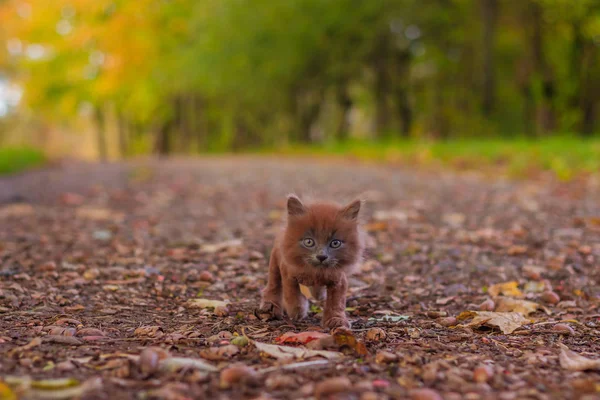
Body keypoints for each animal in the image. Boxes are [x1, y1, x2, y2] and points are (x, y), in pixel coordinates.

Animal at [258, 194, 366, 328]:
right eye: (309, 242)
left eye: (335, 243)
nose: (321, 256)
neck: (315, 271)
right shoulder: (287, 272)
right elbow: (291, 293)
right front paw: (297, 310)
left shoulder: (339, 280)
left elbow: (337, 302)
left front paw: (336, 319)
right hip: (274, 264)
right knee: (274, 284)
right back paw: (270, 304)